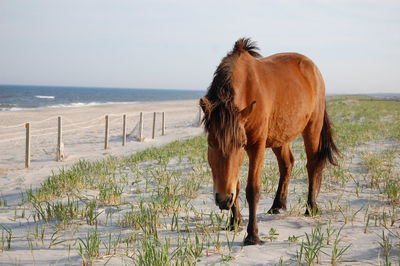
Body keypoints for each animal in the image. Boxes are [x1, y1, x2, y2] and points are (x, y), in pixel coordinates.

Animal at [198, 37, 340, 245]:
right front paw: (234, 222)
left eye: (241, 145)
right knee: (287, 164)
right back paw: (277, 205)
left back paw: (311, 207)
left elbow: (252, 190)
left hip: (312, 127)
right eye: (210, 143)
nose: (223, 200)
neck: (247, 86)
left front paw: (253, 235)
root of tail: (311, 66)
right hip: (280, 138)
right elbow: (237, 186)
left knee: (313, 165)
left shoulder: (256, 146)